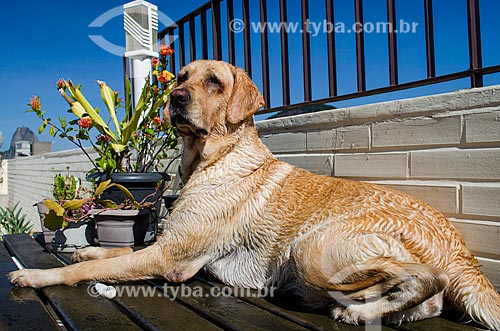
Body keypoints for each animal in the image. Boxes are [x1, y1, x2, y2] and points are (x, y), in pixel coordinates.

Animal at [9, 61, 500, 330]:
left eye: (214, 82)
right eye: (180, 76)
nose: (175, 97)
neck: (213, 158)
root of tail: (460, 250)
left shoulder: (171, 258)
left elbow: (99, 266)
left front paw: (38, 277)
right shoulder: (167, 244)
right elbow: (111, 253)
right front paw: (84, 250)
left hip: (312, 246)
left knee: (425, 281)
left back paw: (356, 310)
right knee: (428, 300)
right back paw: (367, 311)